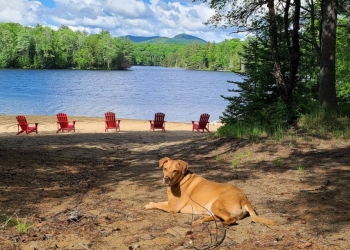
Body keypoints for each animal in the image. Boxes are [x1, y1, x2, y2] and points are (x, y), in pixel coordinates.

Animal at [144, 157, 276, 226]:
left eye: (175, 170)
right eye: (165, 169)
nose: (166, 178)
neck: (180, 180)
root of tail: (245, 199)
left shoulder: (172, 207)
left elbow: (159, 205)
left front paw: (148, 205)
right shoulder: (170, 203)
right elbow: (160, 202)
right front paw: (151, 202)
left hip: (216, 204)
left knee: (229, 220)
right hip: (213, 208)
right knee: (218, 217)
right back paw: (202, 219)